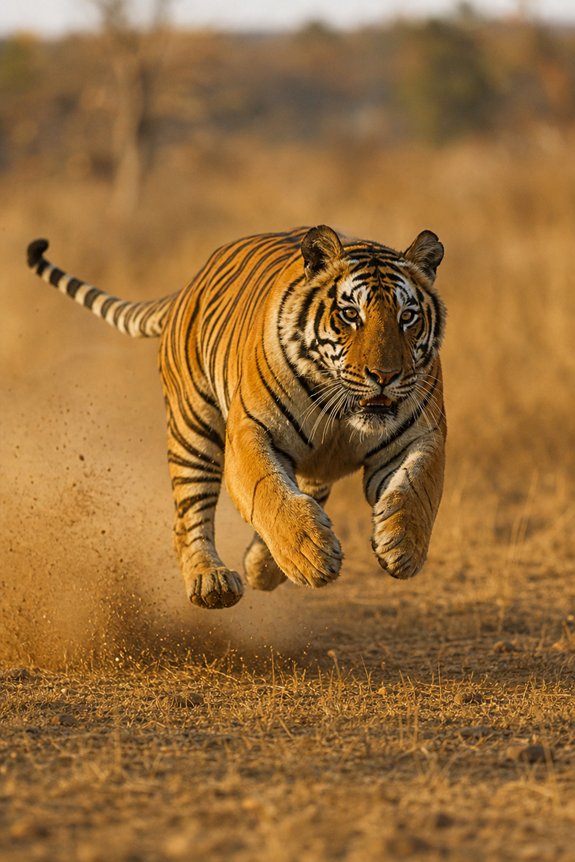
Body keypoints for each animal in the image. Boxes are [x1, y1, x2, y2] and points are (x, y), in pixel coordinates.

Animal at [27, 225, 446, 610]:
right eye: (349, 314)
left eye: (408, 317)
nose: (385, 376)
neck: (343, 409)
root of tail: (188, 287)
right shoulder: (250, 431)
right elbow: (269, 493)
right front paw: (310, 555)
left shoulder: (423, 433)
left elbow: (417, 487)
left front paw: (403, 547)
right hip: (193, 432)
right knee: (188, 519)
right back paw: (212, 581)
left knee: (306, 489)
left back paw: (262, 567)